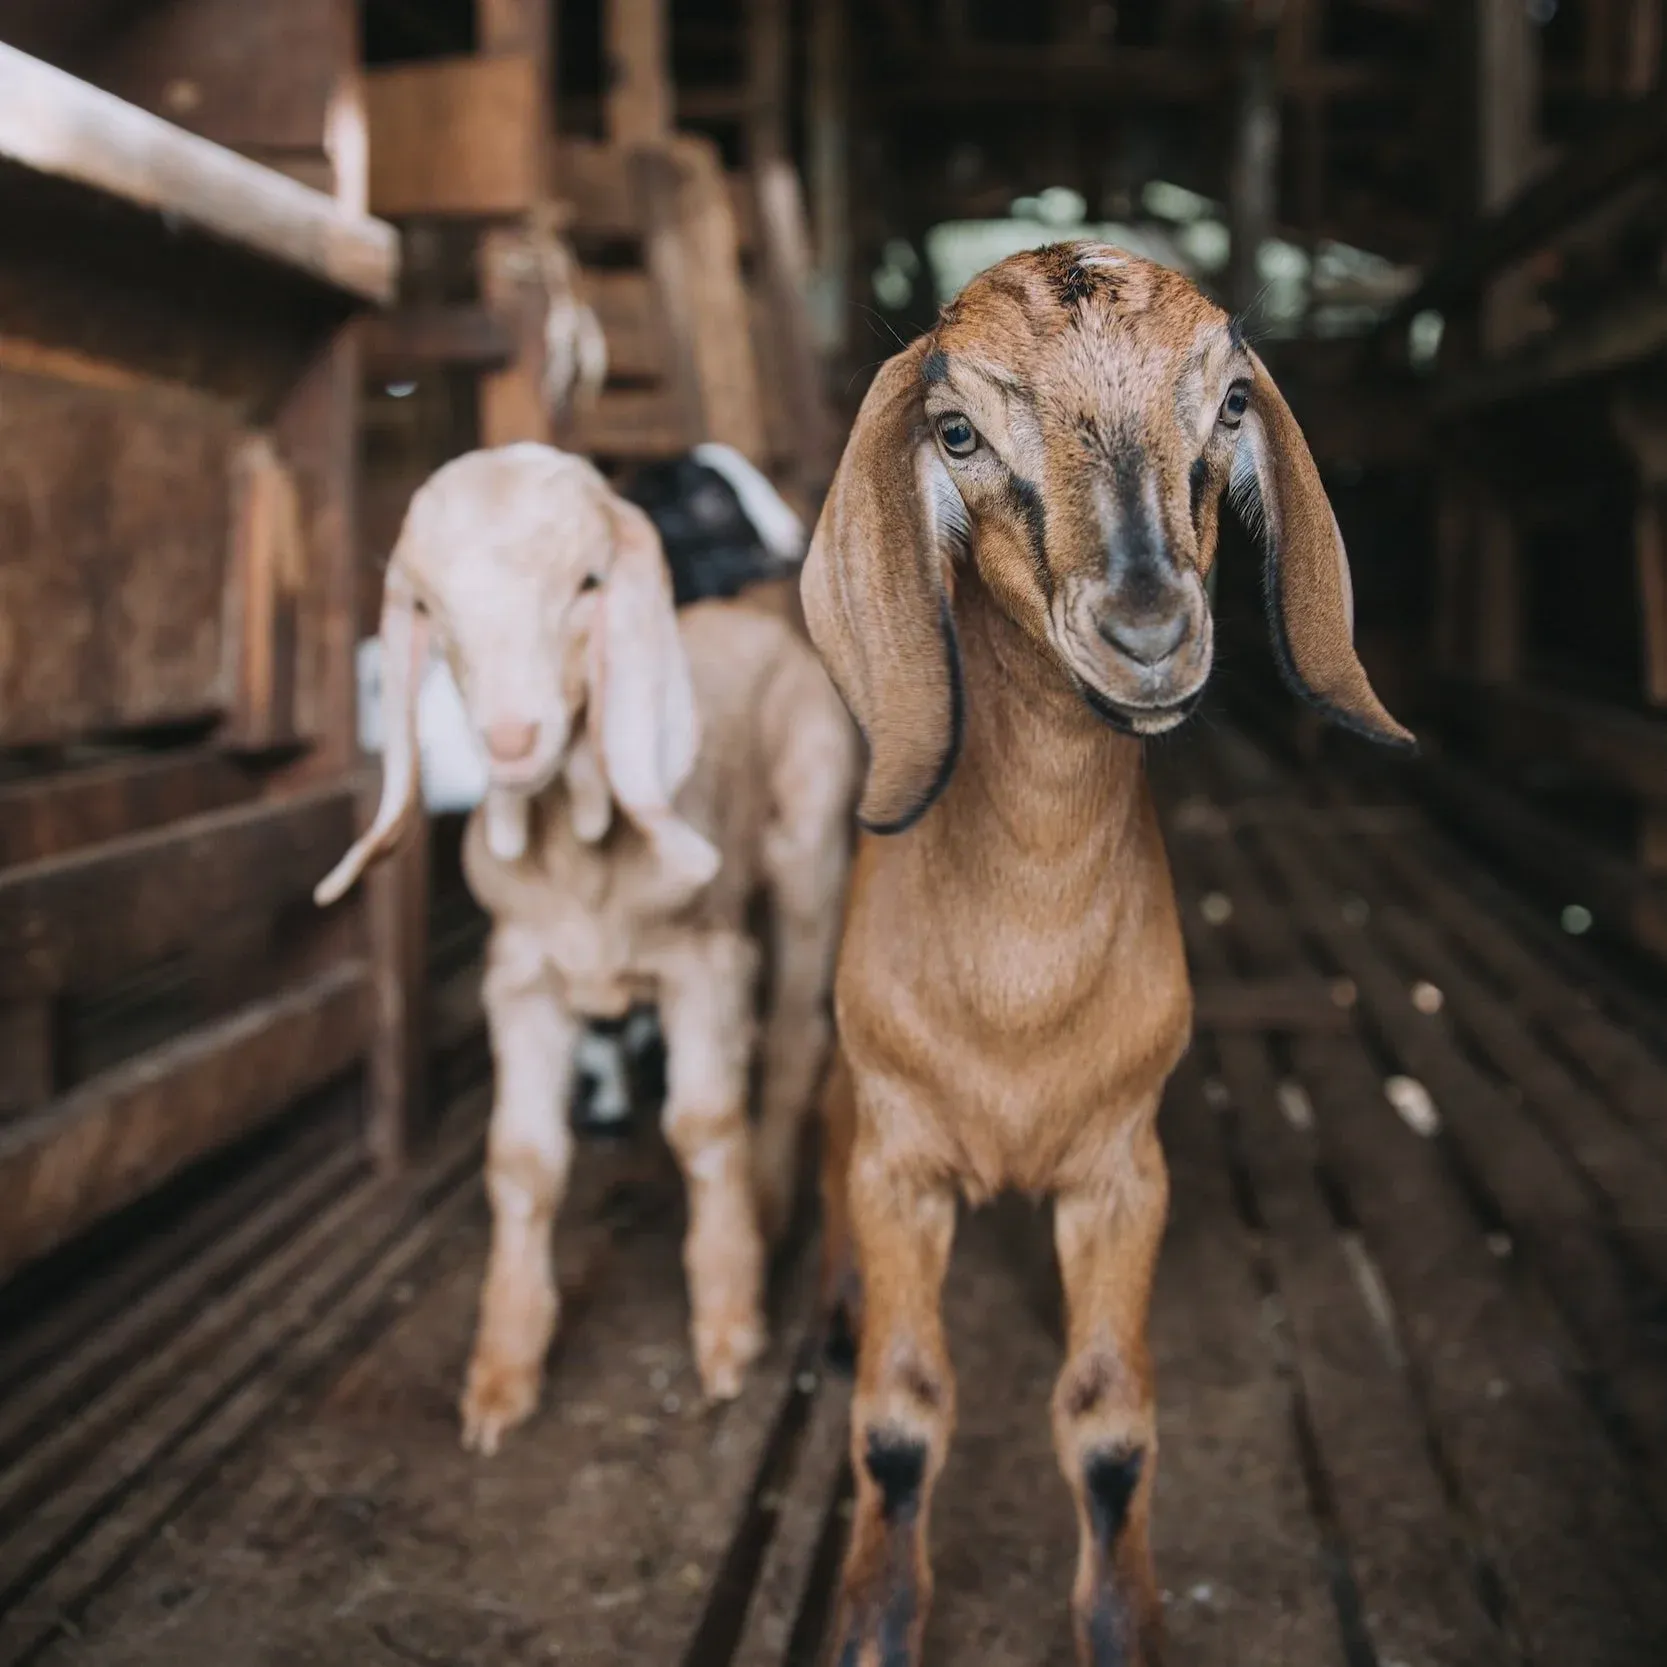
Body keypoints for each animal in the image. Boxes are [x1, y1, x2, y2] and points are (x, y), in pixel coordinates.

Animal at [316, 443, 858, 1455]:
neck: (580, 851)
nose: (510, 738)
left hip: (810, 853)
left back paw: (768, 1205)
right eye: (427, 606)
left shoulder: (702, 961)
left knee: (796, 1036)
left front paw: (729, 1325)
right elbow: (522, 1160)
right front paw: (500, 1375)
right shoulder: (520, 977)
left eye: (588, 584)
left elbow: (703, 1125)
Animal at [801, 243, 1411, 1667]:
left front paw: (1120, 1621)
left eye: (1229, 403)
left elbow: (1107, 1421)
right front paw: (872, 1618)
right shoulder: (902, 1160)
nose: (1145, 628)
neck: (1019, 988)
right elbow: (898, 1412)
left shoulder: (1123, 1172)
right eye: (956, 430)